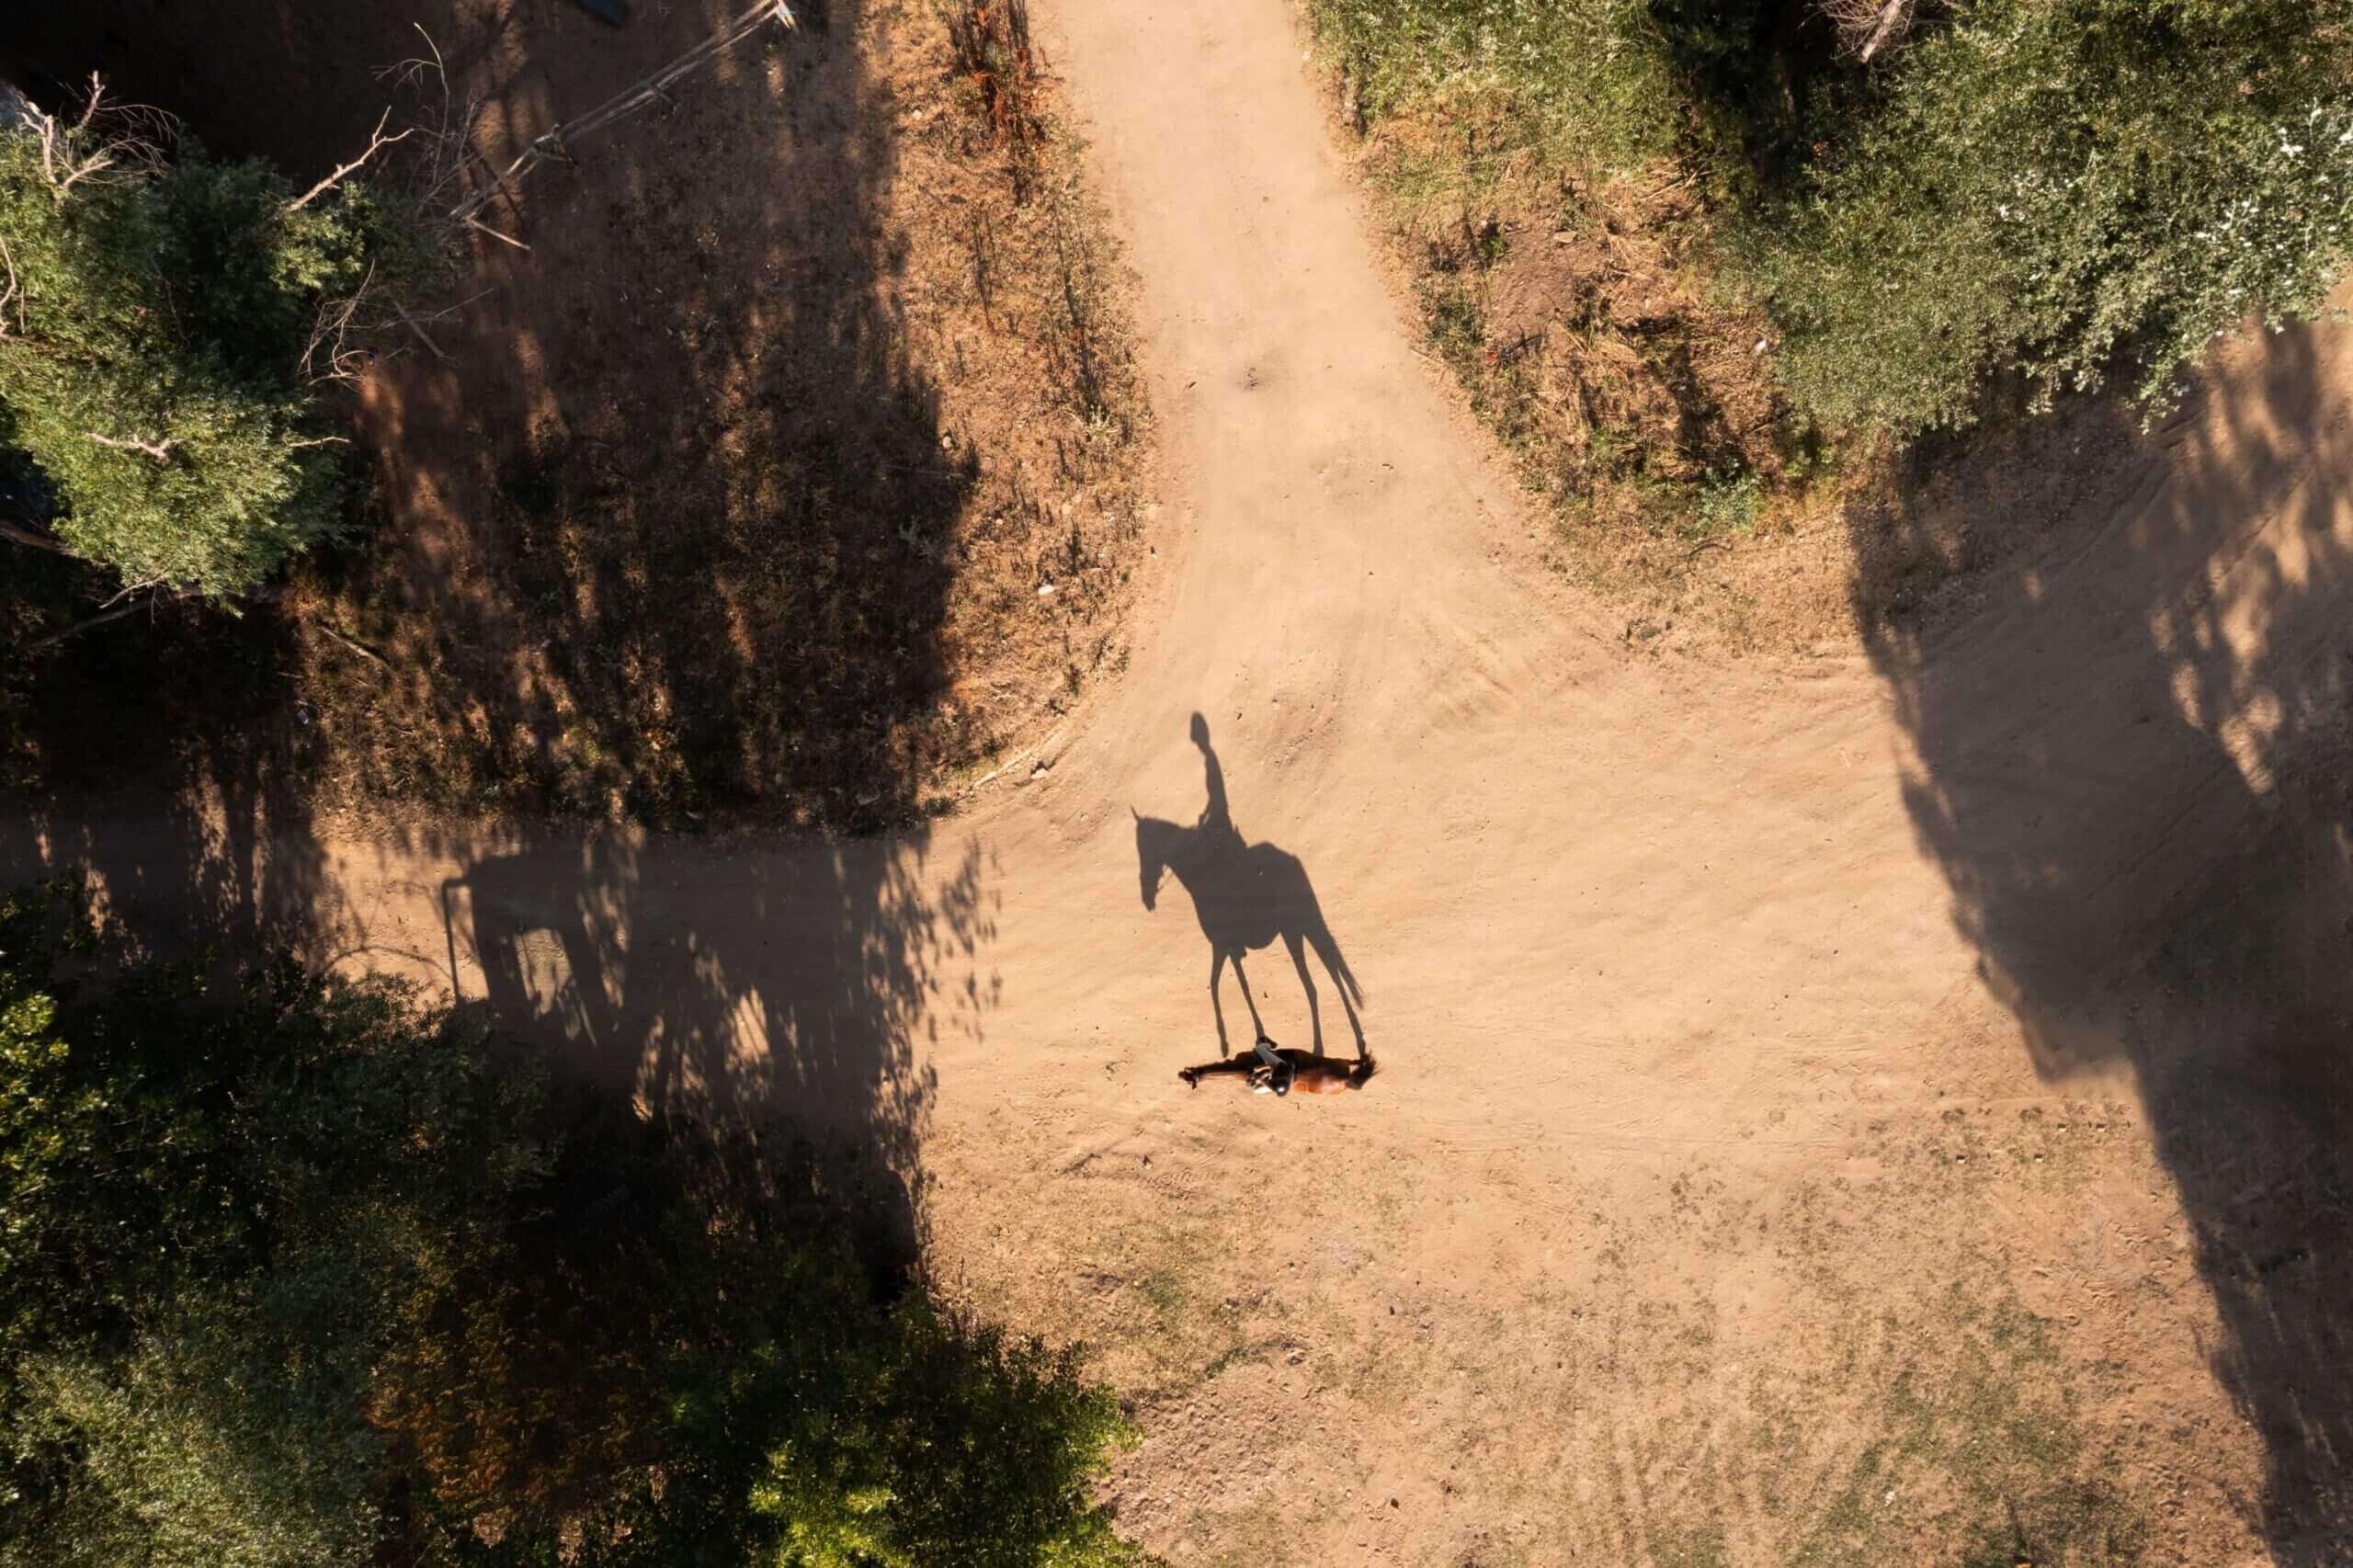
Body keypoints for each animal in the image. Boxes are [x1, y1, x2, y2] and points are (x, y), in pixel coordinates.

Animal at [1133, 808, 1367, 1056]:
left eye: (1146, 850)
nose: (1147, 899)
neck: (1200, 878)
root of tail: (1291, 861)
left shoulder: (1222, 946)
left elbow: (1219, 985)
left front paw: (1226, 1043)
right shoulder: (1231, 950)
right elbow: (1233, 985)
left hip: (1295, 928)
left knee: (1316, 981)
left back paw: (1323, 1047)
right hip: (1302, 926)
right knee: (1330, 973)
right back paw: (1352, 1042)